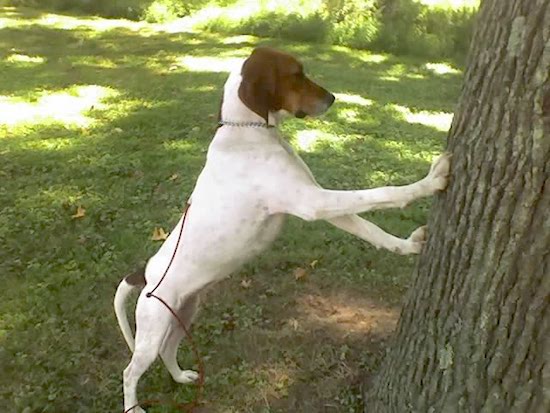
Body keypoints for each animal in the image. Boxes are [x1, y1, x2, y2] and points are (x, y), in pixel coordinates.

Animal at [114, 46, 450, 410]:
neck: (249, 131)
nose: (332, 98)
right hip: (154, 326)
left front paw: (408, 245)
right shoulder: (313, 203)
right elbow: (382, 193)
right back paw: (133, 406)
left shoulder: (318, 201)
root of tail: (145, 272)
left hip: (185, 312)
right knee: (130, 371)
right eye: (296, 74)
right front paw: (430, 181)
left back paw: (181, 377)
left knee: (168, 349)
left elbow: (371, 229)